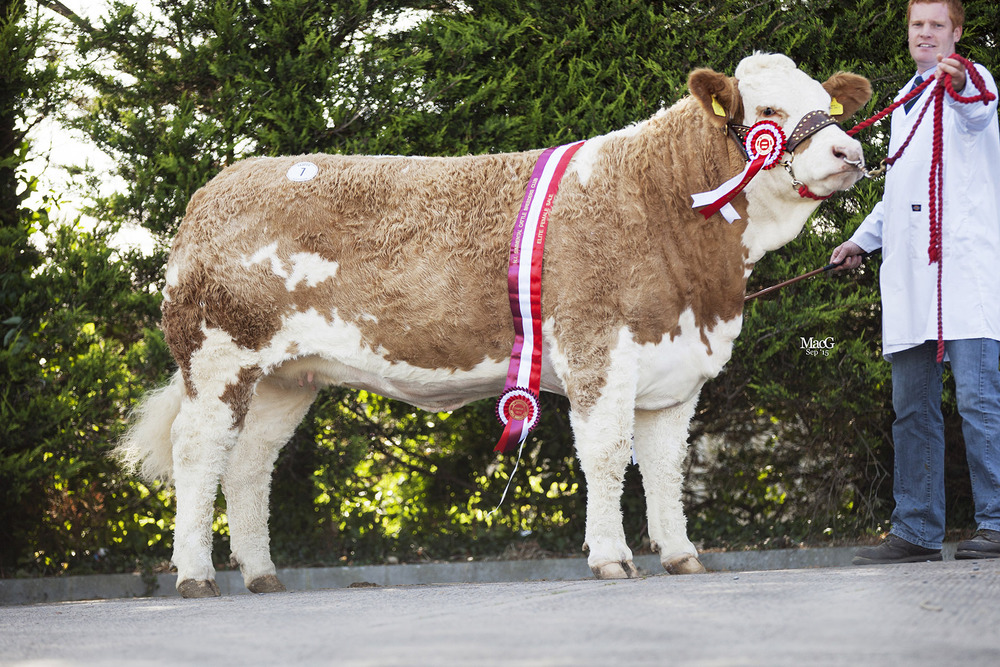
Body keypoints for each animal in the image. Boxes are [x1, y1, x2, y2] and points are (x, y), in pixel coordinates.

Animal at [115, 53, 868, 600]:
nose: (849, 154)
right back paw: (196, 575)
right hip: (219, 357)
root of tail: (217, 188)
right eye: (768, 110)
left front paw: (682, 555)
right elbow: (606, 455)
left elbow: (664, 466)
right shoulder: (598, 350)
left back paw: (263, 573)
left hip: (285, 377)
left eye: (827, 105)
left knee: (250, 463)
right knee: (199, 452)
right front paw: (612, 558)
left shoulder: (675, 368)